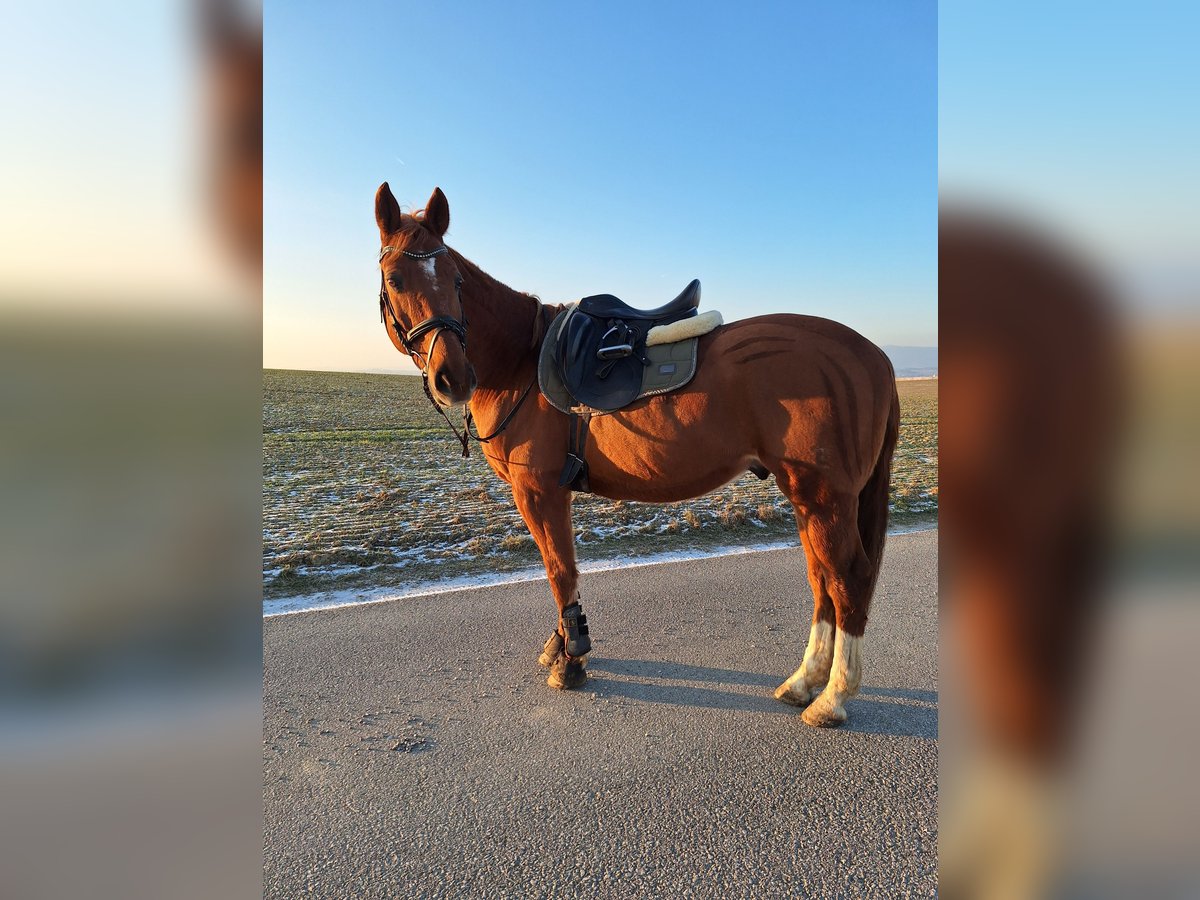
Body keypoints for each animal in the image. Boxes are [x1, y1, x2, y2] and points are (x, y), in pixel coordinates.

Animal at [374, 187, 902, 729]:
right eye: (396, 279)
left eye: (455, 279)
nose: (453, 377)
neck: (521, 360)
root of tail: (874, 356)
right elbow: (561, 568)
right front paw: (561, 643)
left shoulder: (539, 491)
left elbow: (559, 570)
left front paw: (572, 658)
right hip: (809, 498)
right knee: (822, 579)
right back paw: (803, 681)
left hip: (823, 497)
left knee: (847, 578)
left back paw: (833, 697)